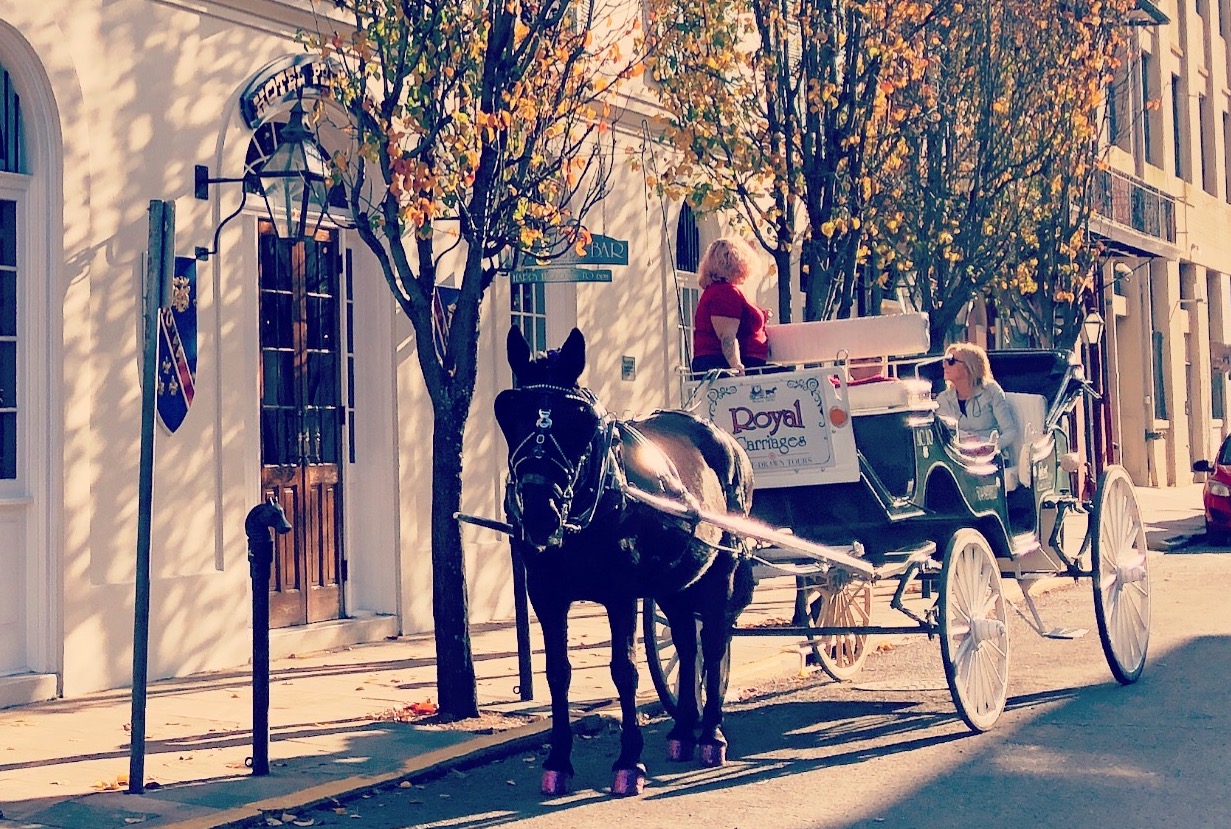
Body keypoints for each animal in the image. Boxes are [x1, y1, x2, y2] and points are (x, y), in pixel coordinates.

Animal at [494, 327, 753, 793]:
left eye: (579, 420)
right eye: (507, 412)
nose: (541, 515)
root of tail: (728, 442)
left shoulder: (621, 594)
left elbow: (624, 670)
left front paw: (628, 762)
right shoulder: (545, 594)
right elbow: (557, 672)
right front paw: (557, 762)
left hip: (721, 569)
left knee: (712, 642)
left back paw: (711, 735)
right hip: (674, 583)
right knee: (686, 643)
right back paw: (682, 732)